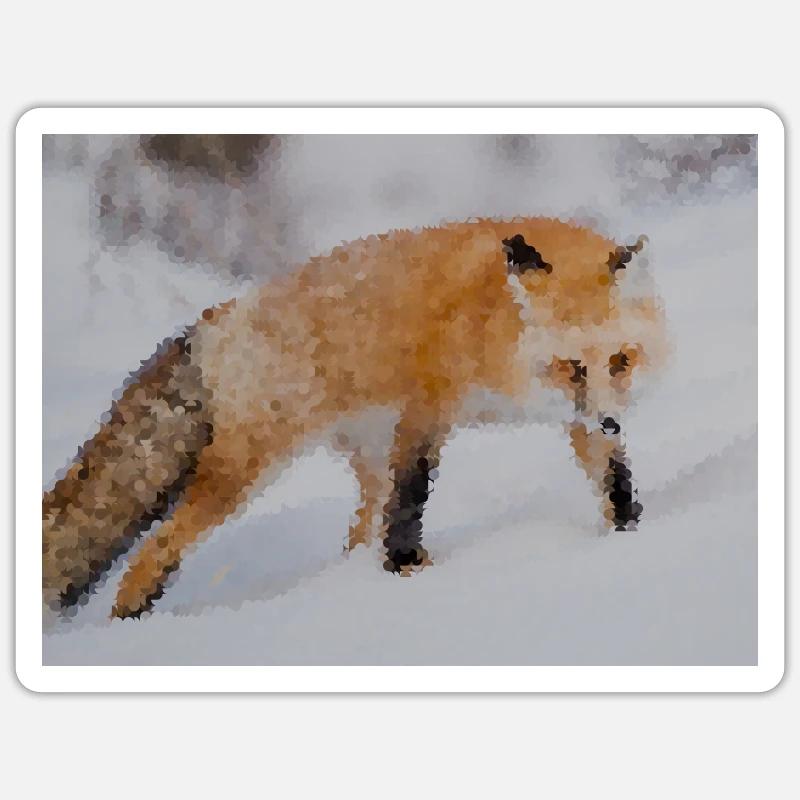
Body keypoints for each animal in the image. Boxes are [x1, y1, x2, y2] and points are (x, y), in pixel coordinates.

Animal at [43, 217, 668, 620]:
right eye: (570, 366)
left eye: (620, 360)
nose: (613, 422)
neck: (493, 325)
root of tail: (216, 318)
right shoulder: (425, 409)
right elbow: (411, 499)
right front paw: (407, 569)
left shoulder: (576, 418)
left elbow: (613, 478)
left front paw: (628, 531)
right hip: (243, 473)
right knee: (154, 549)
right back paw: (130, 617)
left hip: (363, 457)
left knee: (358, 531)